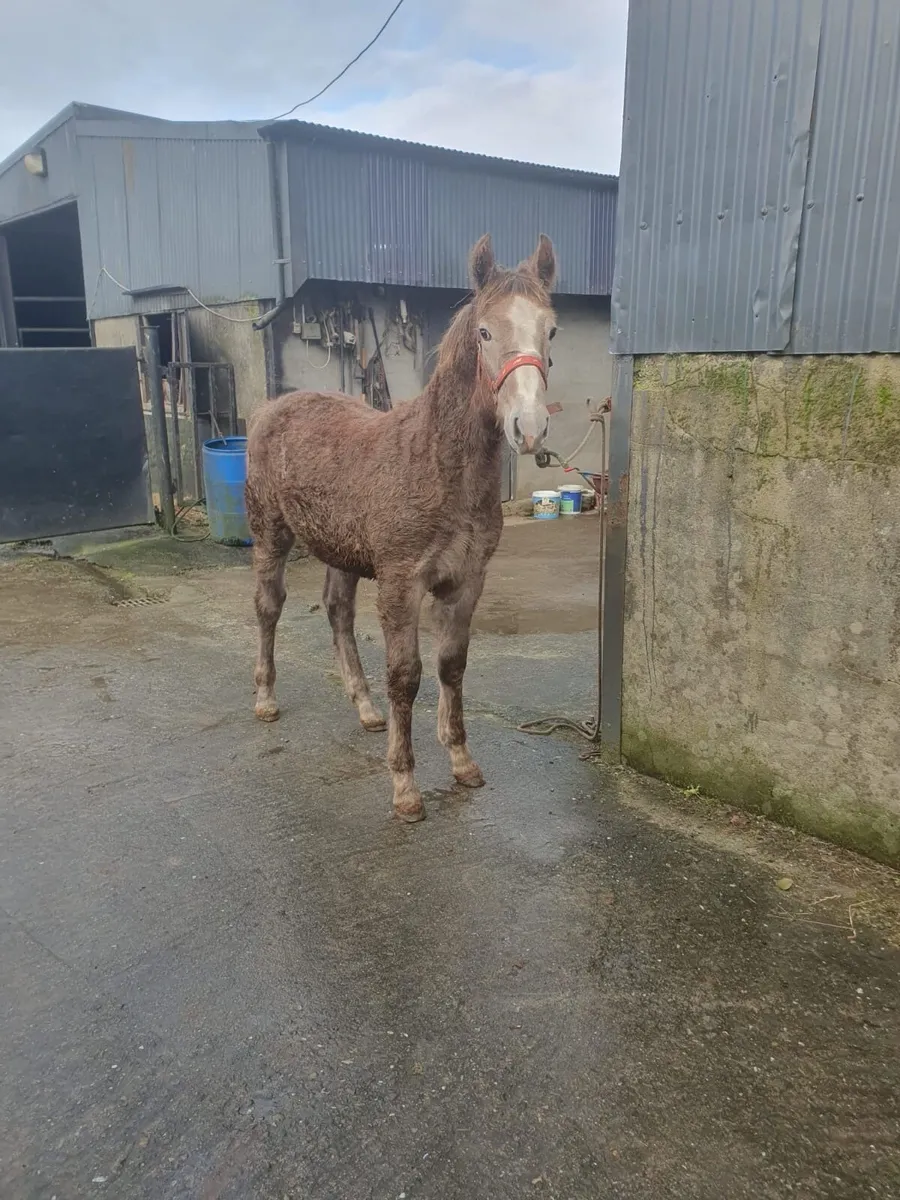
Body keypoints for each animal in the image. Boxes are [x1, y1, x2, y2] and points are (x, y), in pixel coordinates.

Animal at [245, 233, 558, 822]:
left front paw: (461, 761)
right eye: (485, 332)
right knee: (268, 608)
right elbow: (407, 676)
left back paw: (366, 709)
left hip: (341, 549)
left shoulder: (465, 581)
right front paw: (405, 787)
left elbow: (451, 666)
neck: (436, 463)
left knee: (338, 612)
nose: (528, 428)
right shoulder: (400, 583)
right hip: (270, 534)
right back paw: (266, 699)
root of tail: (272, 407)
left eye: (551, 330)